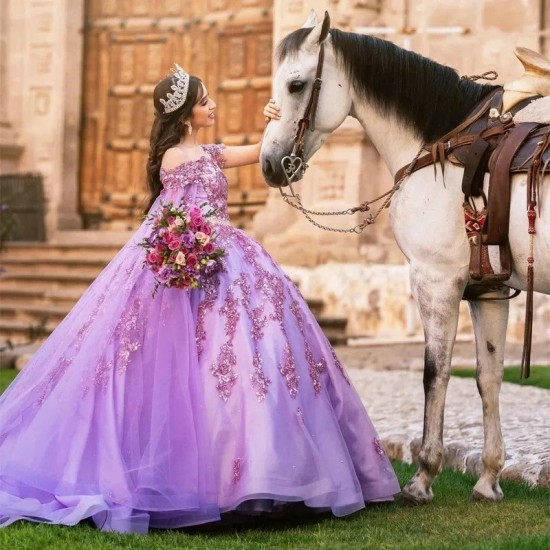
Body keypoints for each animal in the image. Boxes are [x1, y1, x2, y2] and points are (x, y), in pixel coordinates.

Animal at [260, 10, 550, 506]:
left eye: (296, 85)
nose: (268, 164)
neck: (443, 144)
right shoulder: (490, 290)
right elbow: (489, 377)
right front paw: (489, 478)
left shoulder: (435, 279)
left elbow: (435, 374)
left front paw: (423, 476)